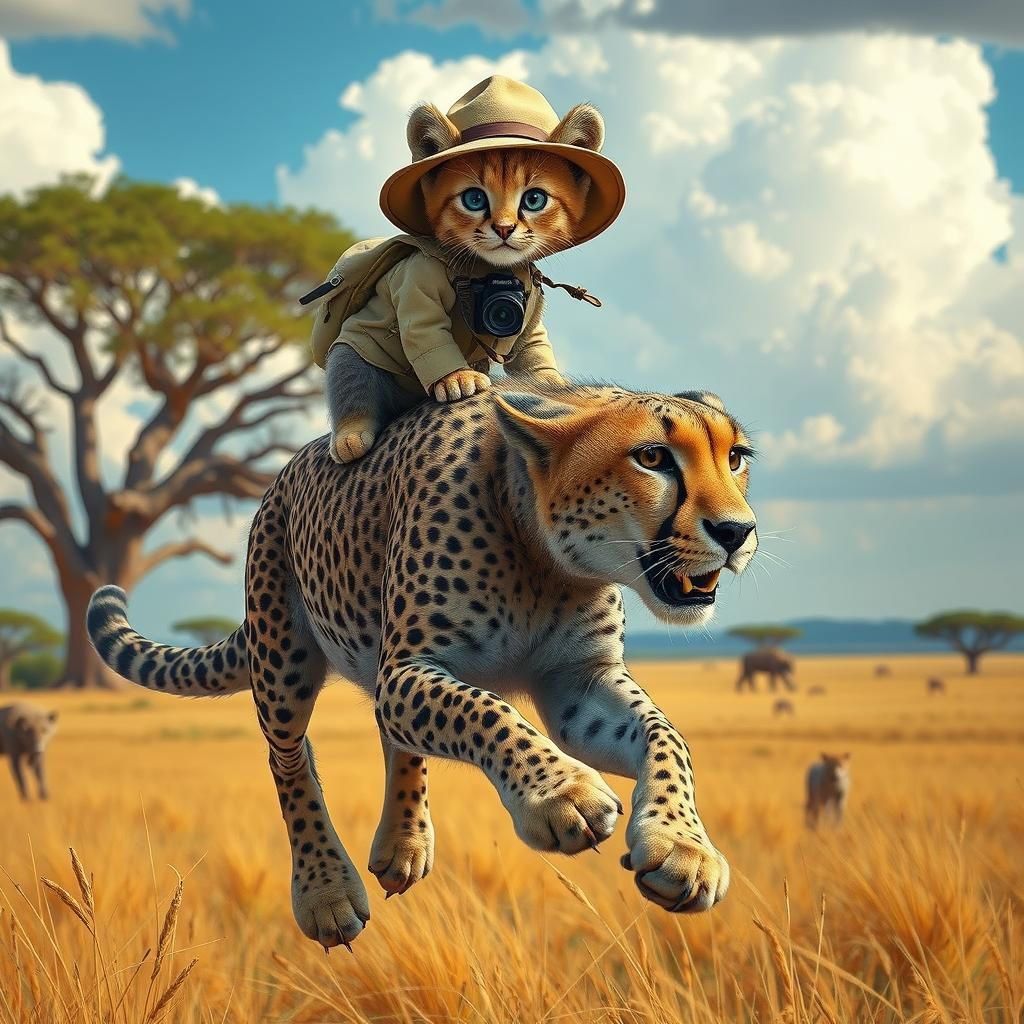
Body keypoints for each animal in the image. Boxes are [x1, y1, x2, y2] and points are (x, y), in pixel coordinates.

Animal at [87, 380, 758, 950]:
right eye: (652, 457)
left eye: (736, 457)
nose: (738, 531)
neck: (544, 555)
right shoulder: (409, 668)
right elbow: (484, 708)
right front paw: (560, 794)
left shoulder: (578, 683)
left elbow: (665, 736)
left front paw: (683, 845)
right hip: (284, 654)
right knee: (289, 758)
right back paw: (325, 891)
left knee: (396, 739)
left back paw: (403, 842)